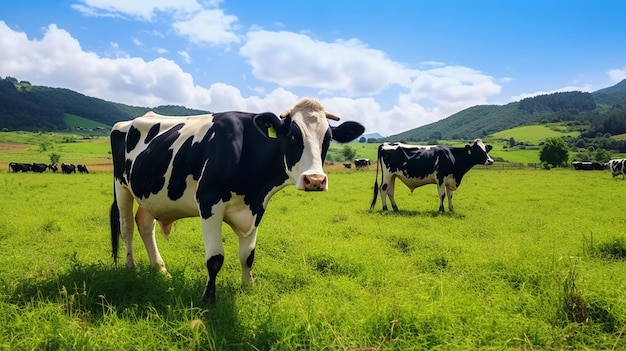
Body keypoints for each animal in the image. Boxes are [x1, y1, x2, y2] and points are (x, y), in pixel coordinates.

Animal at [107, 97, 360, 302]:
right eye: (292, 136)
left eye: (327, 139)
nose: (315, 180)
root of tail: (126, 123)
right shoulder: (209, 203)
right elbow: (215, 258)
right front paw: (209, 298)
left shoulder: (256, 207)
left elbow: (248, 256)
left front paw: (249, 287)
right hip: (121, 185)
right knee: (127, 227)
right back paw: (131, 267)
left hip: (152, 195)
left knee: (145, 225)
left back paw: (160, 270)